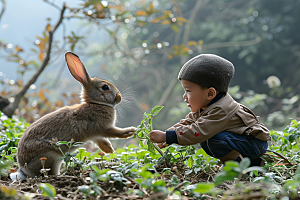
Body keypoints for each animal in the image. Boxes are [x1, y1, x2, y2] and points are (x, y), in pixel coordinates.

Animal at [10, 52, 137, 181]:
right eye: (105, 87)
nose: (119, 97)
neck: (96, 103)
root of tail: (23, 170)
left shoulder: (95, 135)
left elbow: (100, 141)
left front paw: (109, 149)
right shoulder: (102, 128)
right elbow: (114, 133)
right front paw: (130, 131)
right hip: (51, 156)